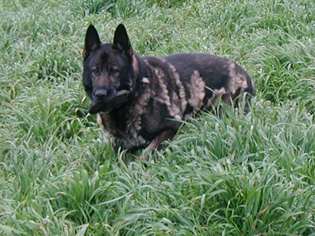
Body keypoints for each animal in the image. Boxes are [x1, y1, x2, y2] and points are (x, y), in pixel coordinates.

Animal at [82, 24, 256, 157]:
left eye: (115, 71)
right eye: (95, 71)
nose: (100, 95)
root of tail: (244, 72)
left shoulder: (171, 128)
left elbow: (145, 154)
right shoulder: (118, 149)